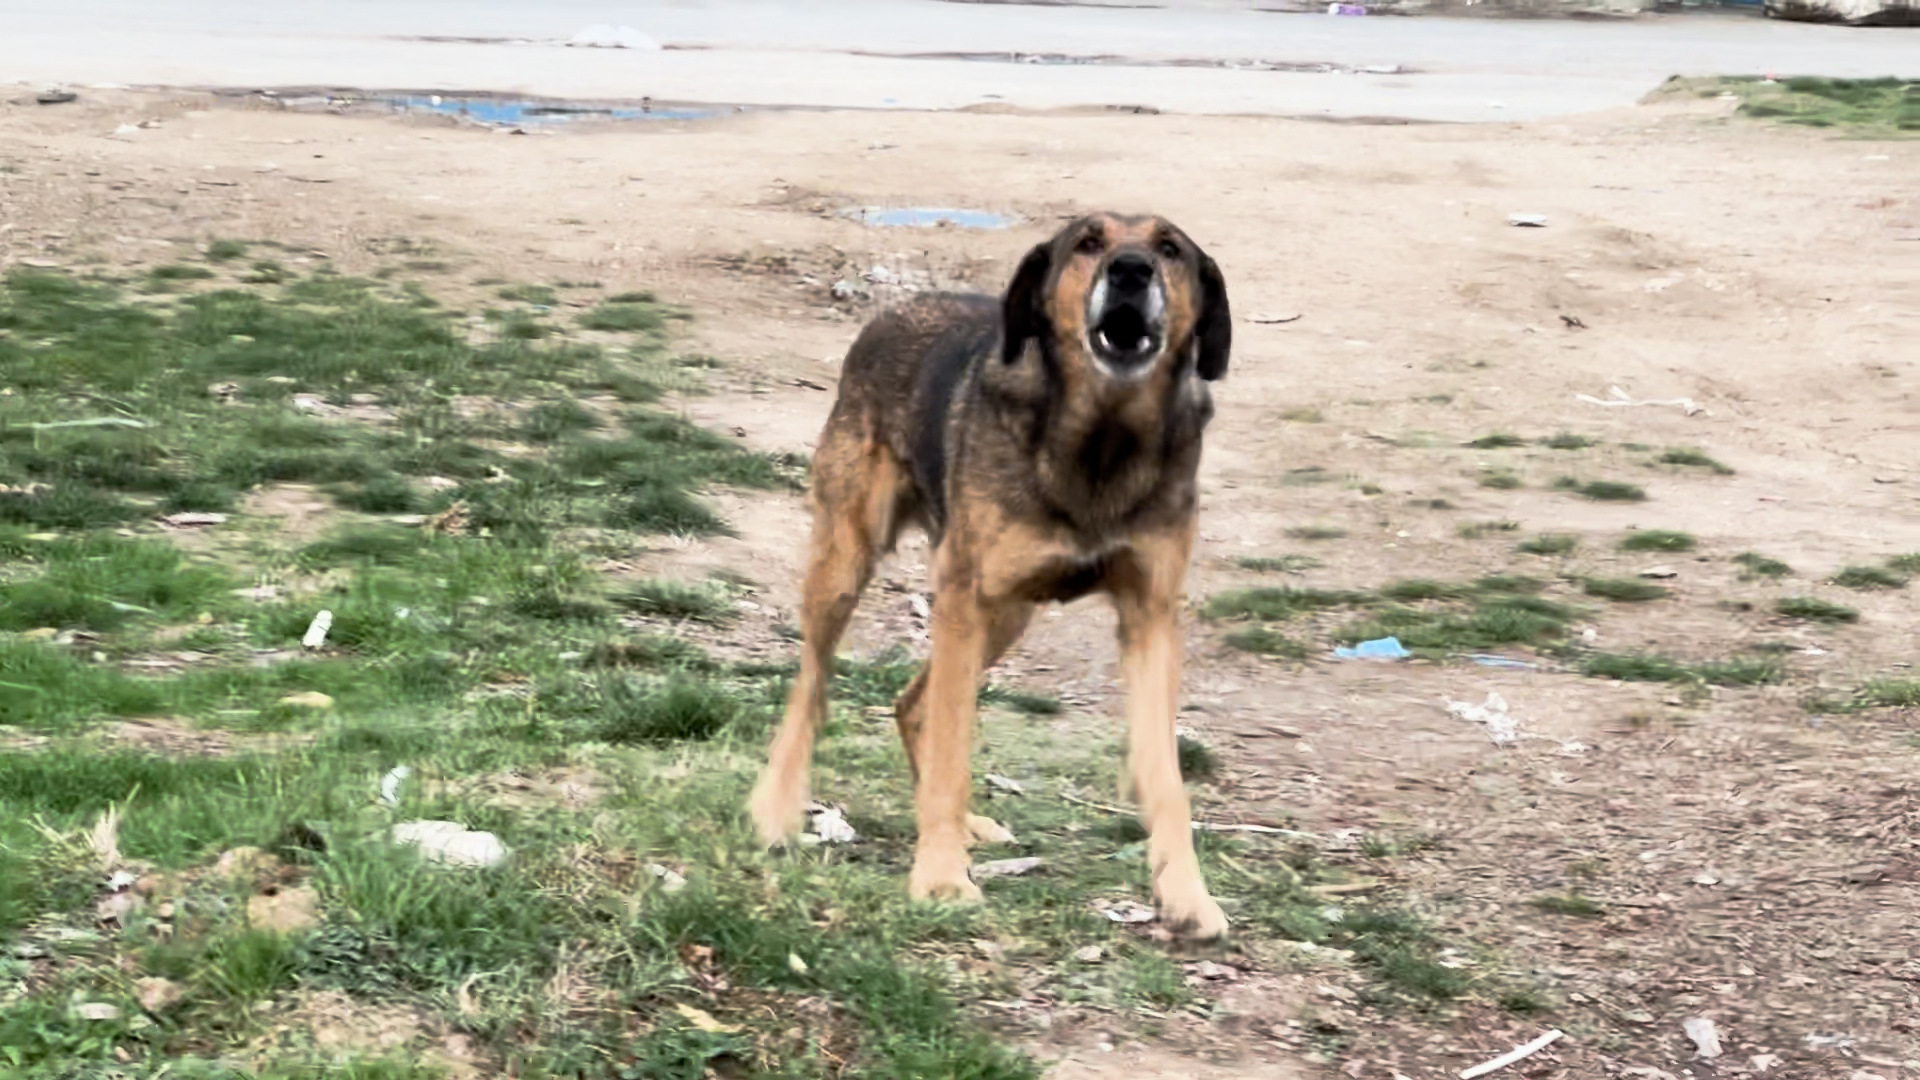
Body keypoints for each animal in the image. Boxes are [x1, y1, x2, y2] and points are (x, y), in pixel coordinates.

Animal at [748, 210, 1228, 933]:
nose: (1131, 270)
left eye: (1170, 248)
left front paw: (1187, 895)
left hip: (1006, 614)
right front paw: (941, 878)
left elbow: (1166, 777)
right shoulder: (962, 600)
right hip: (849, 564)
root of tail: (899, 307)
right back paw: (777, 808)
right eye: (1087, 242)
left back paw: (964, 825)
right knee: (811, 686)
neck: (1101, 440)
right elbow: (953, 753)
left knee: (911, 703)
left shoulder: (1151, 617)